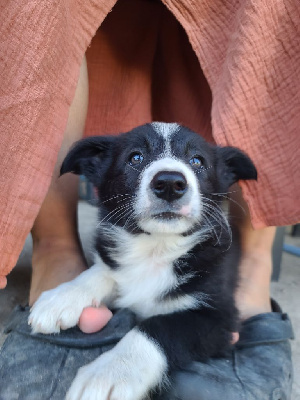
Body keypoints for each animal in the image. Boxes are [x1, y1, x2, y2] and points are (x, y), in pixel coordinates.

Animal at [29, 122, 256, 400]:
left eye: (197, 161)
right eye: (135, 157)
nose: (170, 183)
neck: (156, 249)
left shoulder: (221, 319)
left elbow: (158, 326)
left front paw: (109, 372)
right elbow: (102, 271)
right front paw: (62, 297)